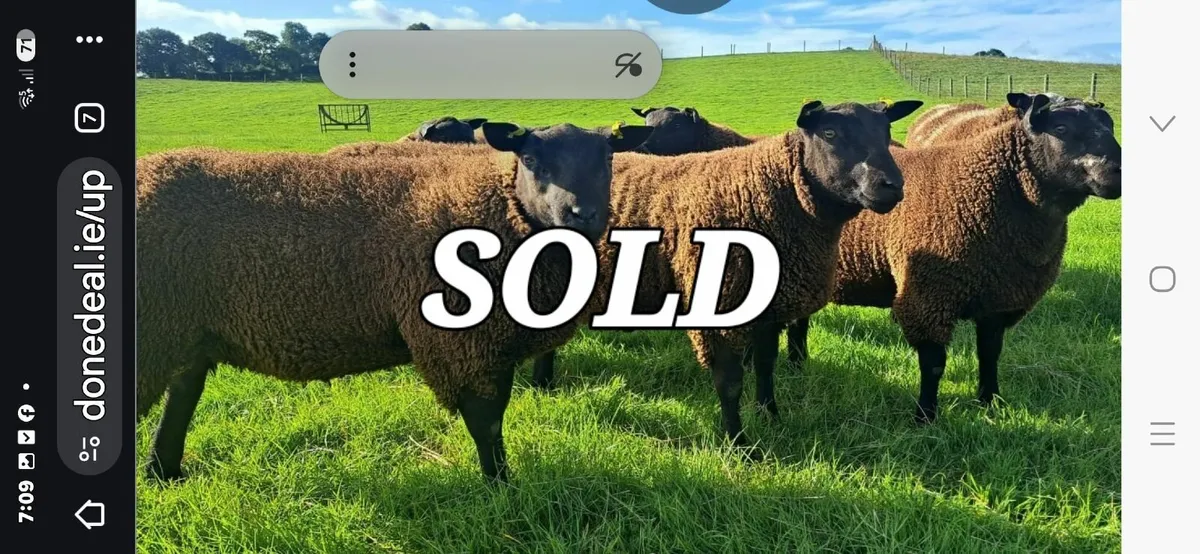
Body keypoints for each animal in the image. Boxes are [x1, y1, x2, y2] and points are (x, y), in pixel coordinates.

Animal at [136, 121, 655, 484]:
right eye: (529, 158)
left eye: (607, 159)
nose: (582, 213)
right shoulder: (464, 339)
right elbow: (486, 423)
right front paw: (502, 488)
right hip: (152, 328)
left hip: (186, 330)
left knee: (181, 396)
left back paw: (164, 474)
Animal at [581, 99, 922, 455]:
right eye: (829, 132)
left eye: (885, 129)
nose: (891, 185)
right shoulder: (718, 307)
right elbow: (730, 383)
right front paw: (739, 446)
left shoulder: (770, 309)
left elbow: (765, 365)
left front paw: (770, 415)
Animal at [780, 93, 1121, 423]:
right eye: (1061, 128)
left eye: (1110, 125)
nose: (1117, 171)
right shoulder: (928, 296)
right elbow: (933, 364)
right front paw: (925, 418)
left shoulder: (999, 300)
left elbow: (990, 354)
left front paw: (990, 403)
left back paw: (798, 364)